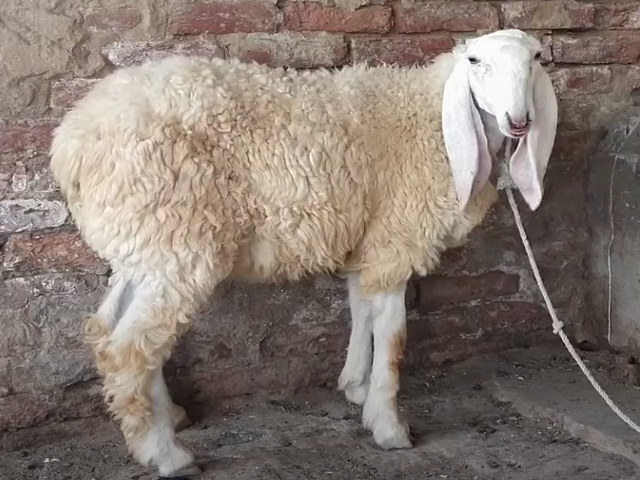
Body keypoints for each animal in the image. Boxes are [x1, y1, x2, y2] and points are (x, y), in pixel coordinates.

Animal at [49, 28, 558, 477]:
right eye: (474, 61)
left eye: (536, 58)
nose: (519, 121)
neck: (430, 119)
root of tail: (71, 143)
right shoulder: (395, 240)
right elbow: (393, 339)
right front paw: (388, 424)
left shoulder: (367, 239)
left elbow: (361, 312)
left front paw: (356, 386)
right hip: (175, 237)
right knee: (130, 349)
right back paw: (165, 454)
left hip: (143, 242)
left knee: (111, 330)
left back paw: (163, 415)